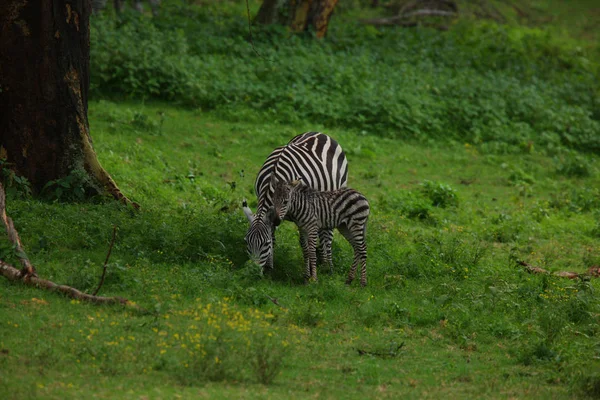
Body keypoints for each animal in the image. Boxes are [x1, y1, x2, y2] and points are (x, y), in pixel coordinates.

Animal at [243, 131, 350, 272]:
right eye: (247, 242)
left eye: (265, 244)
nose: (252, 271)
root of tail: (320, 133)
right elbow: (273, 236)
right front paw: (269, 267)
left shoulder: (301, 214)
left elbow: (305, 244)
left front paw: (309, 271)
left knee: (327, 234)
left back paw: (327, 266)